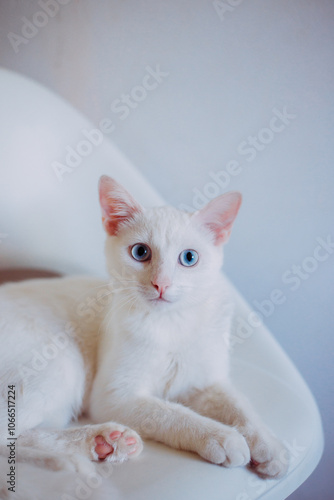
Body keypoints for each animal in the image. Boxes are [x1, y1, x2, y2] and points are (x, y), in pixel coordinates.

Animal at [0, 176, 288, 484]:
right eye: (140, 252)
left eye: (189, 258)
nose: (161, 283)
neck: (172, 323)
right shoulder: (115, 396)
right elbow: (171, 412)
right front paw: (222, 437)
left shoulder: (207, 383)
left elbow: (241, 407)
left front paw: (270, 447)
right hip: (64, 362)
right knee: (8, 437)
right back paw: (73, 461)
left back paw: (104, 442)